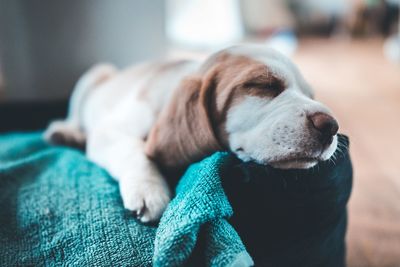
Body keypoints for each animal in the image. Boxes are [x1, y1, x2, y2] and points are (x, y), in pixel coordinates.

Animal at [43, 46, 340, 224]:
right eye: (264, 85)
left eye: (311, 95)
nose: (331, 126)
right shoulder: (108, 131)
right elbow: (134, 151)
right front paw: (148, 189)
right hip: (94, 75)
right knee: (74, 115)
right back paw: (66, 132)